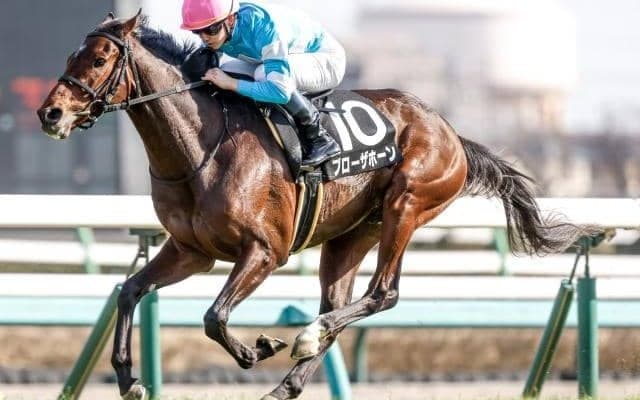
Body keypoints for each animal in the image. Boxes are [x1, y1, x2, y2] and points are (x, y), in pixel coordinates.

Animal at [37, 11, 589, 400]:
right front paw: (129, 379)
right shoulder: (191, 251)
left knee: (382, 294)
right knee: (339, 303)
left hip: (407, 204)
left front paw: (256, 348)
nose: (50, 113)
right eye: (69, 56)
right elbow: (130, 291)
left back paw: (305, 338)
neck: (201, 146)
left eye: (99, 61)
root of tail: (451, 131)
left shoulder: (264, 251)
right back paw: (290, 379)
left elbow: (214, 316)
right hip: (350, 236)